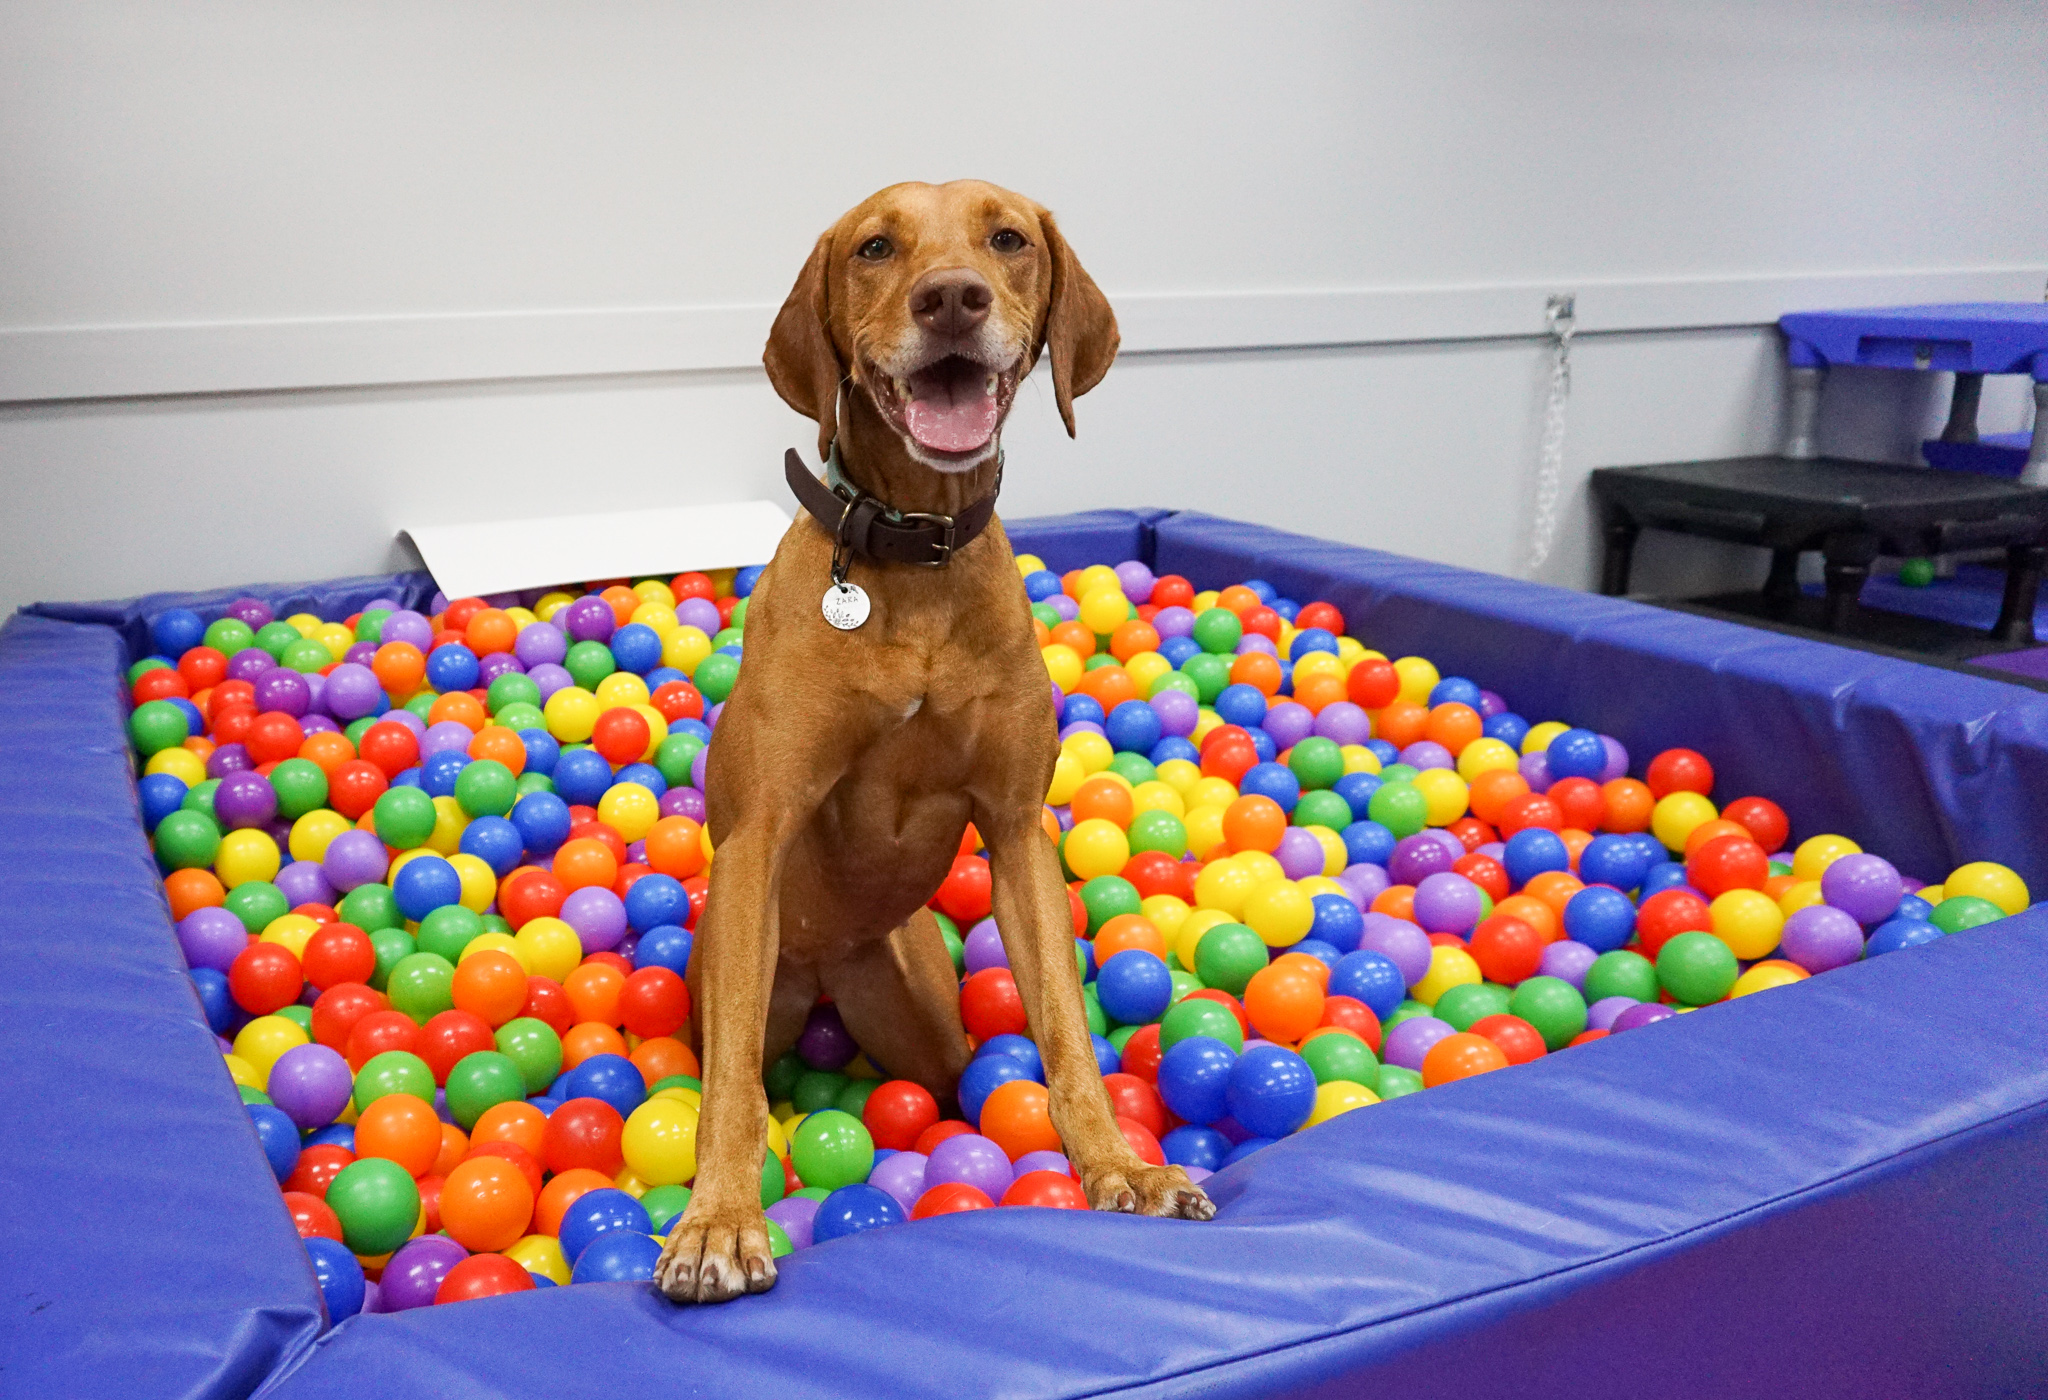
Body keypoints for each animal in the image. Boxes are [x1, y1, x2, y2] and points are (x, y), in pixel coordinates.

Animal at [655, 183, 1204, 1301]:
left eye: (1008, 238)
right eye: (874, 247)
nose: (951, 297)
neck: (912, 555)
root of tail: (825, 961)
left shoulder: (1018, 830)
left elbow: (1066, 1033)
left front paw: (1119, 1167)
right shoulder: (757, 840)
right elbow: (730, 1091)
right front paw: (719, 1219)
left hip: (921, 1016)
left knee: (955, 1075)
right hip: (737, 964)